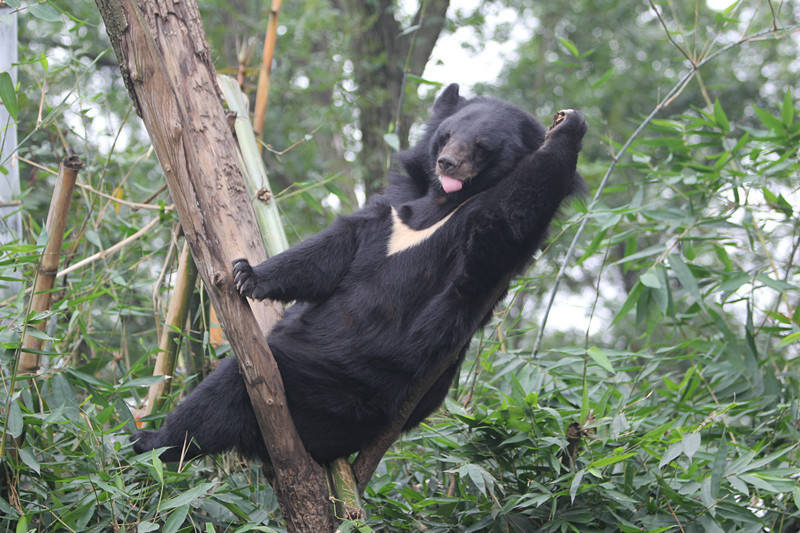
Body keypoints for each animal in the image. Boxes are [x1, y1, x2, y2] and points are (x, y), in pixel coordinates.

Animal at [133, 85, 588, 464]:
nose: (447, 163)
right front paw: (247, 275)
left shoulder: (480, 240)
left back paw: (152, 442)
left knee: (225, 391)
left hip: (336, 390)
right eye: (446, 135)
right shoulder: (394, 208)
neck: (440, 204)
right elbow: (336, 247)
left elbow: (511, 213)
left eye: (481, 146)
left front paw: (571, 125)